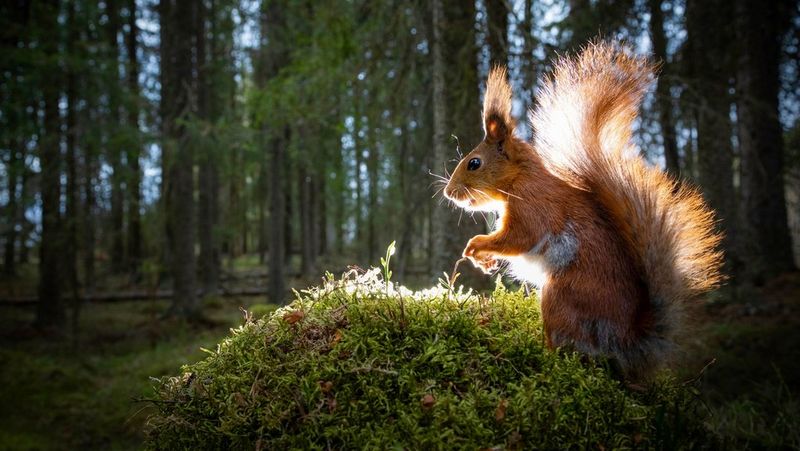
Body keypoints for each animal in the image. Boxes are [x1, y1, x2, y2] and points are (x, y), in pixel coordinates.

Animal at [443, 42, 724, 378]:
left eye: (474, 163)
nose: (448, 192)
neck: (520, 178)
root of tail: (627, 339)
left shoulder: (533, 209)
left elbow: (517, 238)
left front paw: (476, 247)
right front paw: (484, 262)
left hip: (561, 297)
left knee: (570, 347)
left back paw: (542, 353)